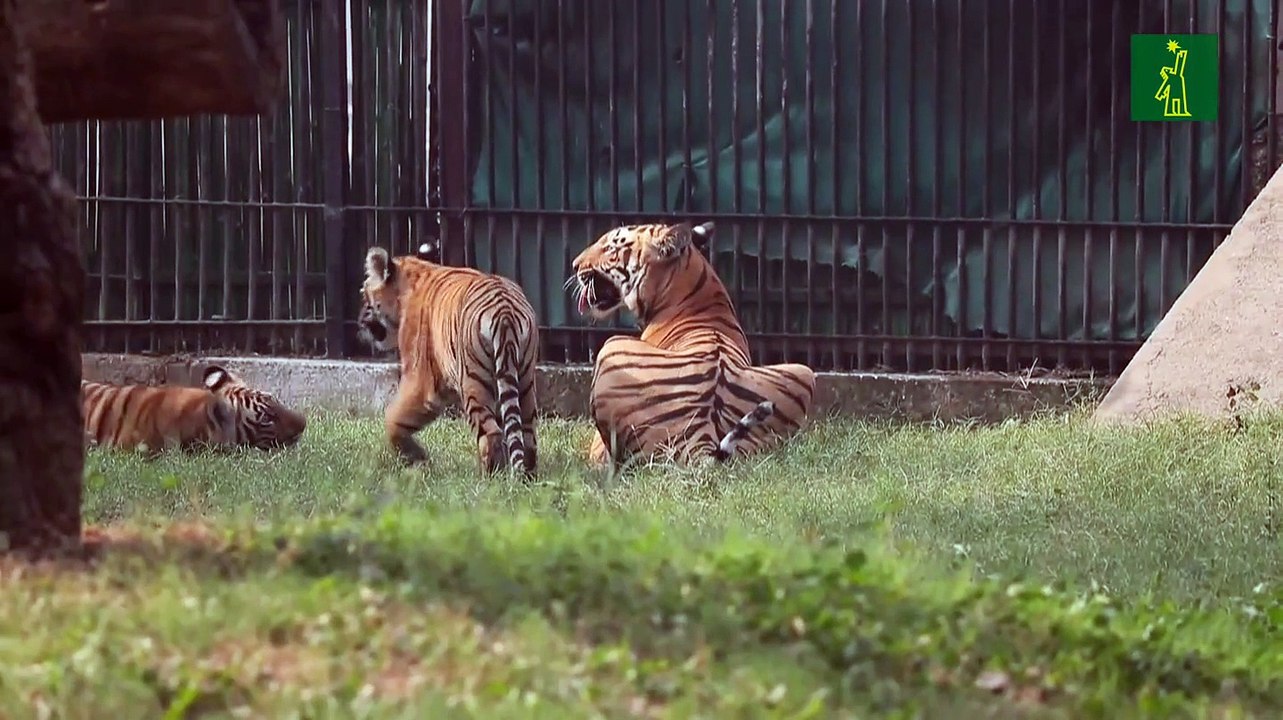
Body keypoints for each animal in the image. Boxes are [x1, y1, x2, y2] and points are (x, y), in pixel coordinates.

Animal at [357, 244, 540, 477]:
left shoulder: (421, 384)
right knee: (527, 434)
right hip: (525, 379)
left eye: (364, 295)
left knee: (491, 433)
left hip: (474, 383)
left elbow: (393, 419)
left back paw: (487, 477)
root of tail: (505, 312)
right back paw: (527, 475)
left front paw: (417, 458)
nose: (360, 321)